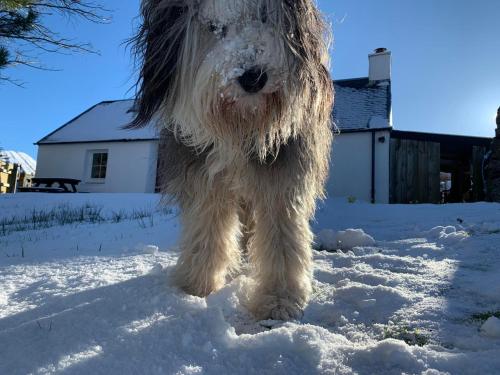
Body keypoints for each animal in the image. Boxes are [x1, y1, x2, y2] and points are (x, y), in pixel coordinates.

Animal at [129, 0, 334, 324]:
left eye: (263, 16)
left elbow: (282, 234)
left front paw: (279, 299)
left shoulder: (282, 175)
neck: (240, 126)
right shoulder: (202, 174)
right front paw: (197, 287)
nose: (252, 77)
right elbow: (207, 225)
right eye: (213, 26)